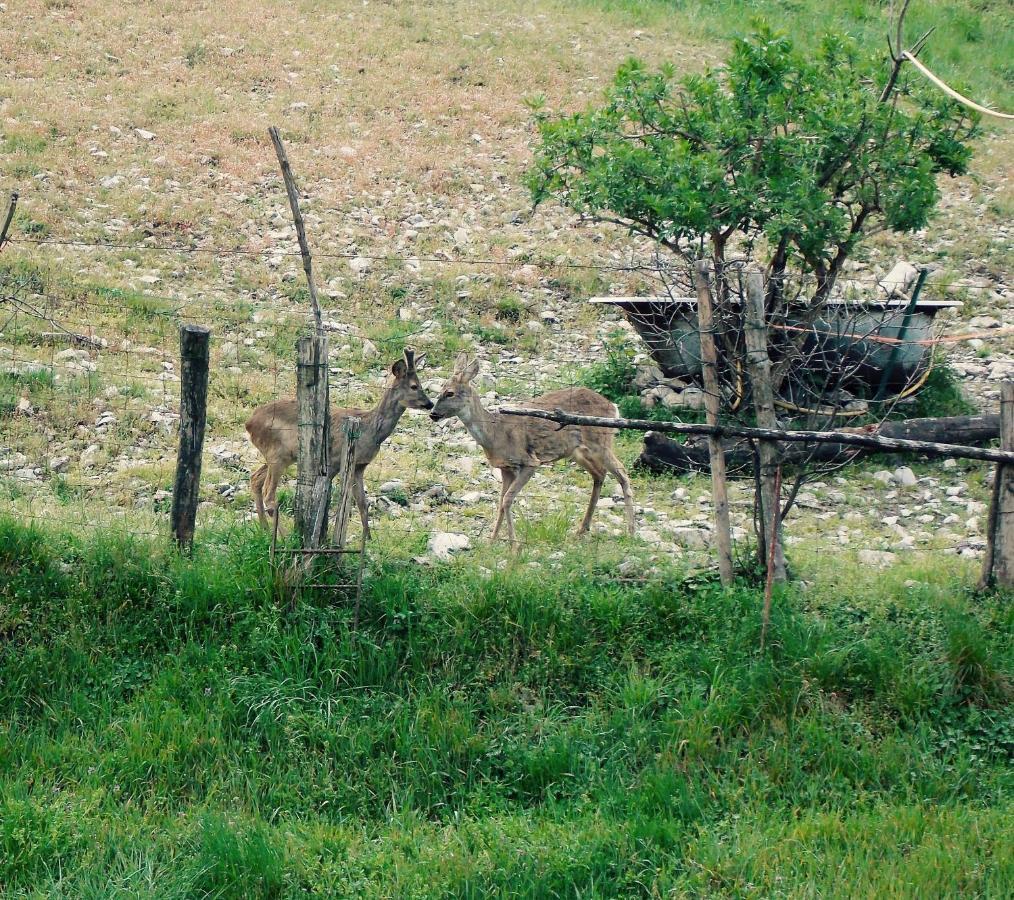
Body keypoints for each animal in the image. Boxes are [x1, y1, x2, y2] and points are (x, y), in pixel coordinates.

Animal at [249, 348, 436, 539]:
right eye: (414, 386)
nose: (430, 404)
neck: (370, 429)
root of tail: (249, 423)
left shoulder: (359, 466)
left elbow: (362, 504)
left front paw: (367, 540)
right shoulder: (334, 462)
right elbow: (327, 499)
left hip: (281, 456)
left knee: (255, 479)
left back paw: (264, 529)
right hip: (278, 454)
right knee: (269, 494)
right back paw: (284, 536)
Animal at [427, 354, 632, 543]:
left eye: (450, 393)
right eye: (441, 389)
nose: (433, 414)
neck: (495, 433)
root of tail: (613, 406)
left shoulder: (530, 462)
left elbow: (507, 500)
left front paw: (514, 546)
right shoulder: (506, 468)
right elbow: (501, 502)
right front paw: (492, 541)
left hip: (601, 441)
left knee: (622, 472)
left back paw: (631, 531)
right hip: (577, 451)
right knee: (600, 474)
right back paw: (582, 529)